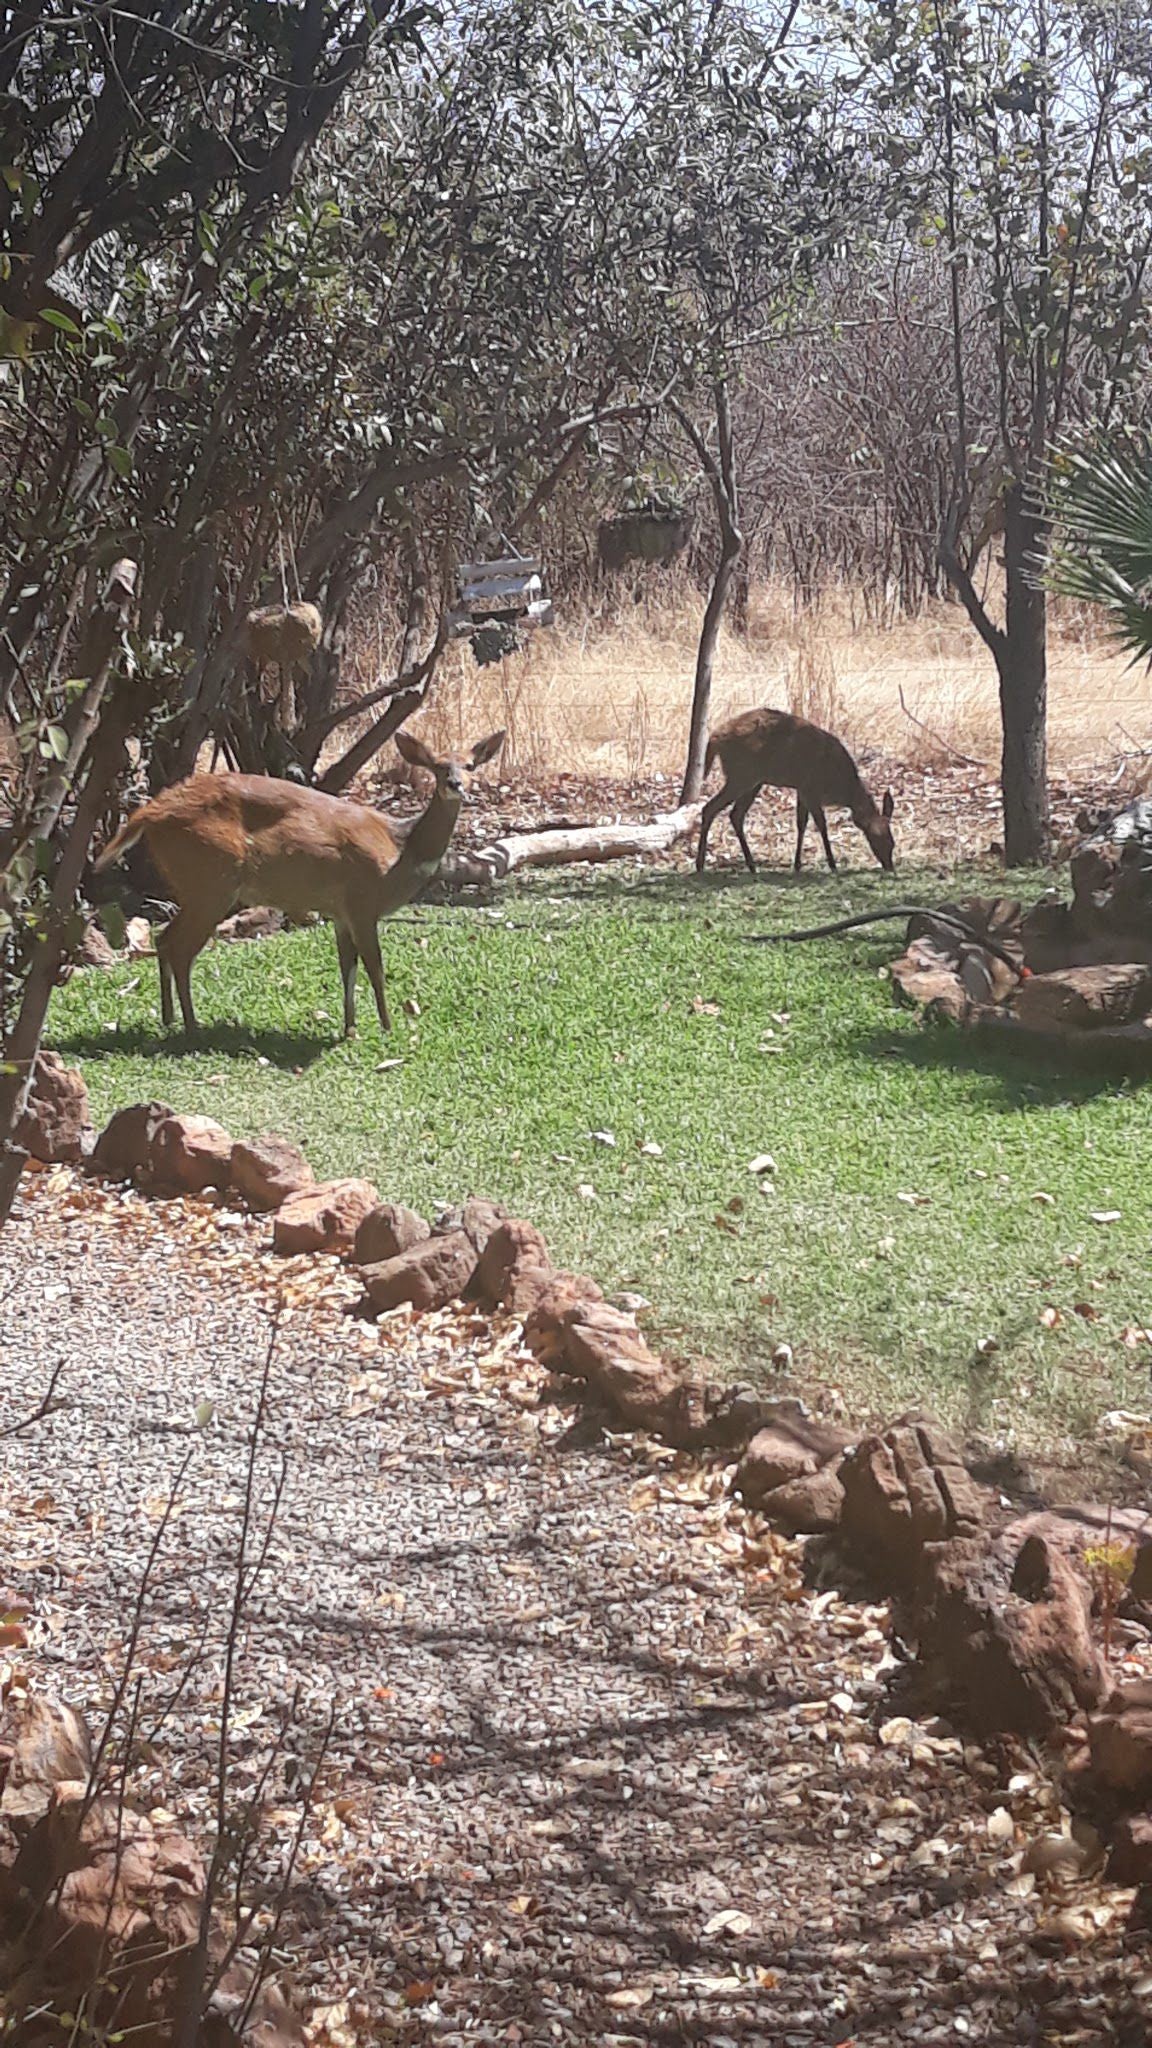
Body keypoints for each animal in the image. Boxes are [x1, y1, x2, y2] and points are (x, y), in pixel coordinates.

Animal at [91, 729, 500, 1032]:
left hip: (198, 885)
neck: (399, 848)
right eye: (437, 766)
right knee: (180, 947)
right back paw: (191, 1025)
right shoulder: (362, 901)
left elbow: (347, 967)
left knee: (165, 940)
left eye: (469, 764)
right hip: (211, 880)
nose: (456, 783)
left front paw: (350, 1029)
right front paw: (388, 1027)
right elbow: (375, 966)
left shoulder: (340, 912)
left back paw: (170, 1020)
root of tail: (149, 815)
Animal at [696, 708, 893, 876]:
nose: (890, 866)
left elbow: (801, 823)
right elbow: (821, 824)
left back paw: (751, 866)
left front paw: (797, 865)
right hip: (742, 776)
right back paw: (700, 865)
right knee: (710, 808)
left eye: (893, 842)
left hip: (753, 780)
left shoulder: (802, 789)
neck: (841, 786)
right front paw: (832, 864)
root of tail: (714, 737)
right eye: (880, 839)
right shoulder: (810, 789)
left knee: (735, 815)